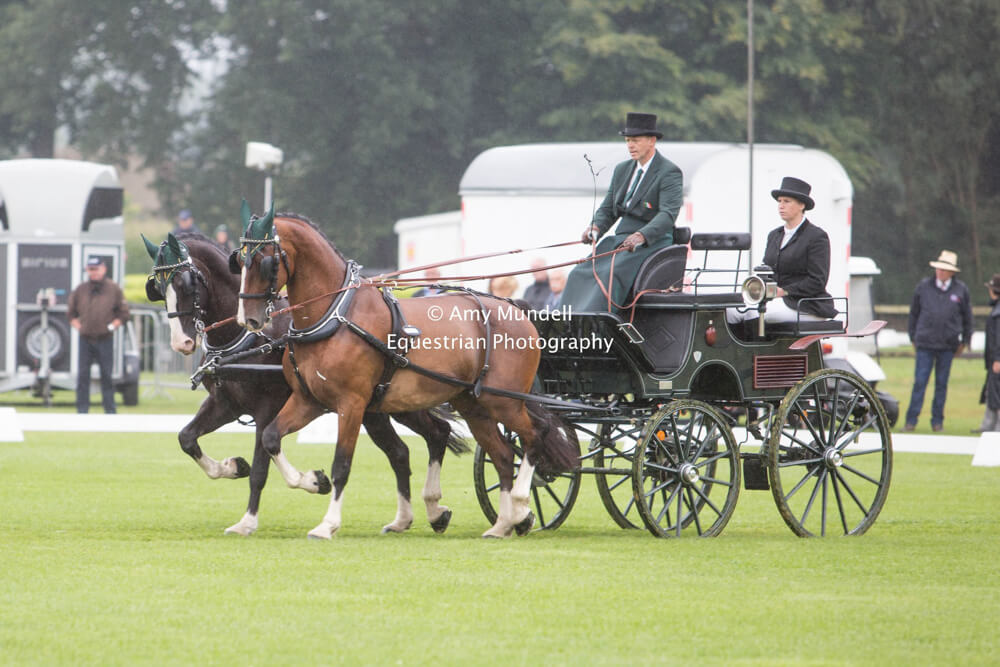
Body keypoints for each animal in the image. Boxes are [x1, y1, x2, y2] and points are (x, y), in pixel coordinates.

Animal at [142, 231, 468, 535]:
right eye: (157, 288)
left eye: (187, 284)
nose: (181, 343)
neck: (250, 337)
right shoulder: (226, 403)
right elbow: (187, 438)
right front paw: (232, 467)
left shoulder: (267, 408)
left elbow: (260, 468)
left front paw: (257, 515)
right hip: (375, 410)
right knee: (402, 451)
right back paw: (414, 517)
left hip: (403, 402)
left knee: (437, 434)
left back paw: (433, 509)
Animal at [233, 203, 580, 539]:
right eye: (239, 260)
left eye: (265, 261)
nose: (247, 319)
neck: (335, 315)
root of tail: (515, 308)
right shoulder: (309, 399)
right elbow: (271, 438)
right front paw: (312, 481)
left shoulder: (351, 405)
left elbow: (342, 464)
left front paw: (327, 524)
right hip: (473, 405)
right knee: (504, 456)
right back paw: (502, 524)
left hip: (504, 401)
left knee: (534, 436)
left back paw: (520, 505)